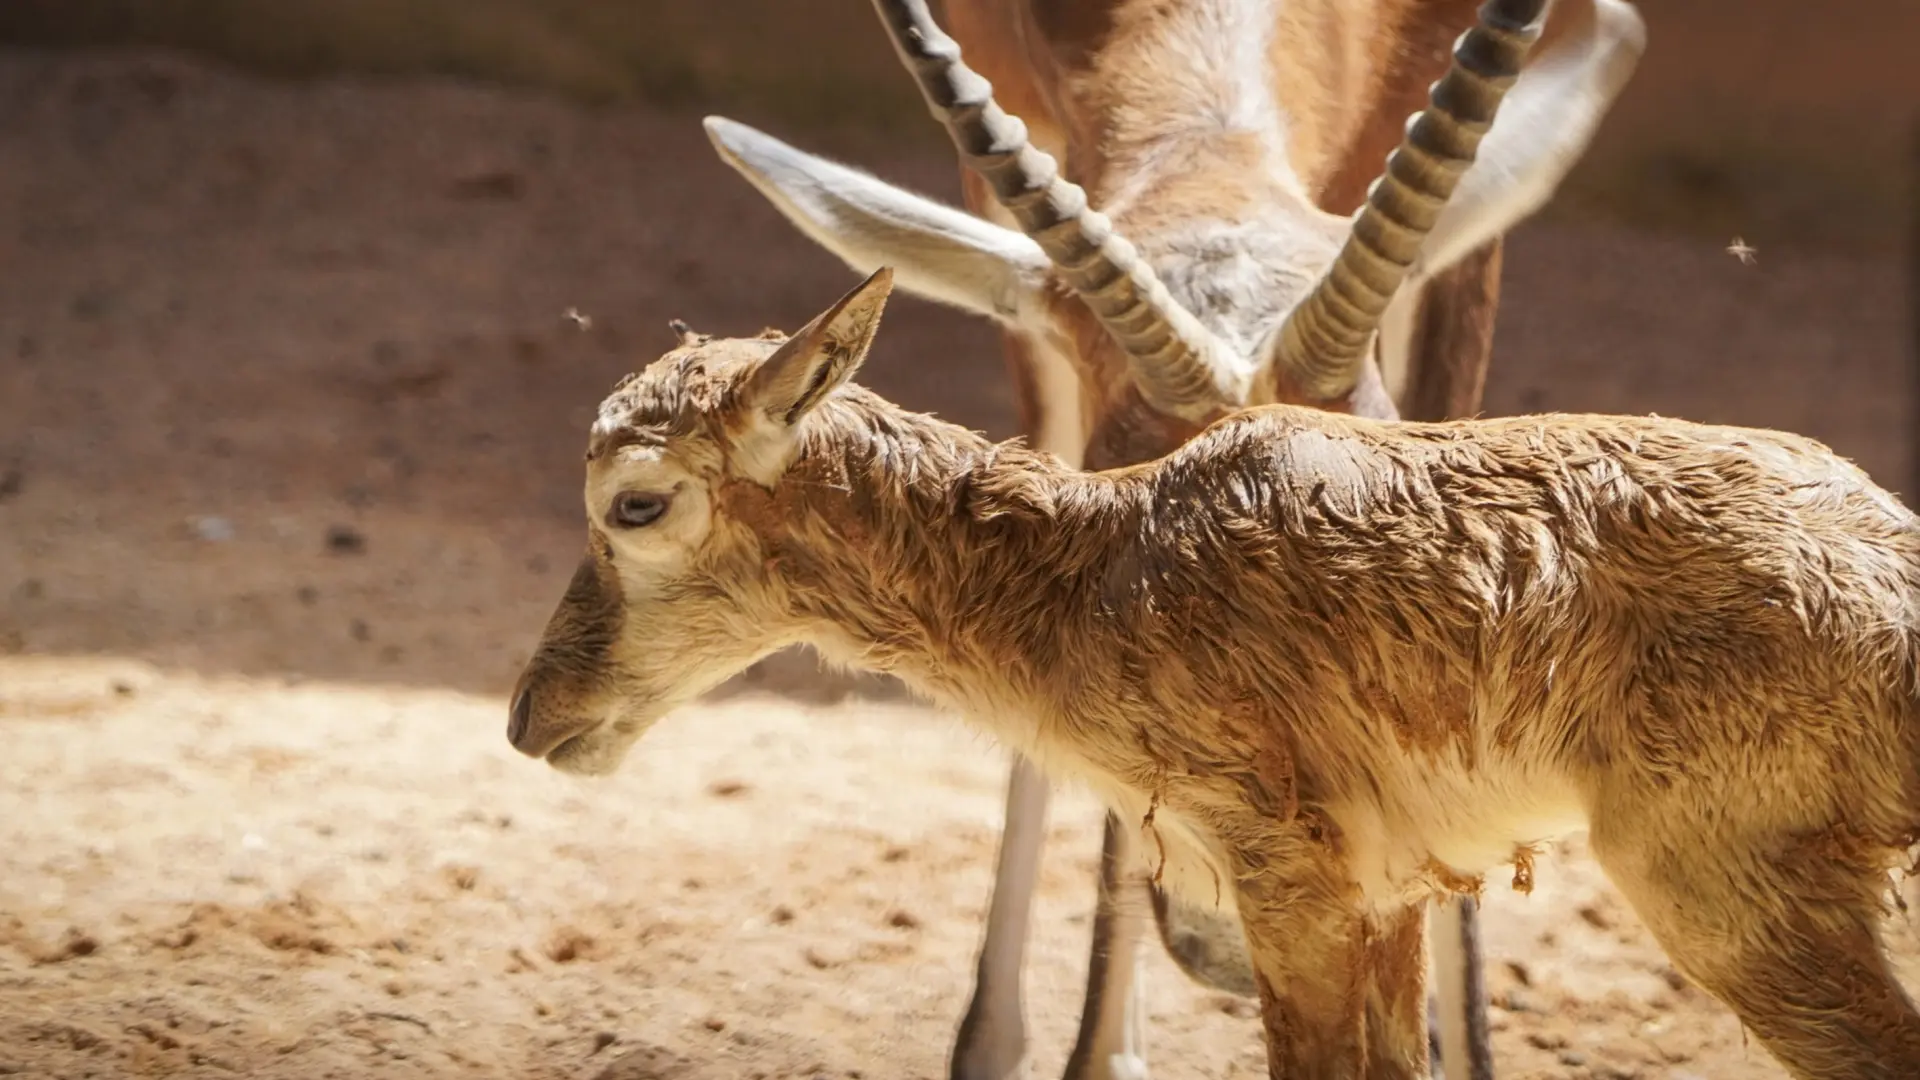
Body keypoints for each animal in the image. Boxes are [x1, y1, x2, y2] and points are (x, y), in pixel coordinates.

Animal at [508, 265, 1920, 1080]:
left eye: (635, 503)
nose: (532, 718)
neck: (1096, 578)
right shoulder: (1393, 896)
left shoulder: (1287, 878)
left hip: (1725, 892)